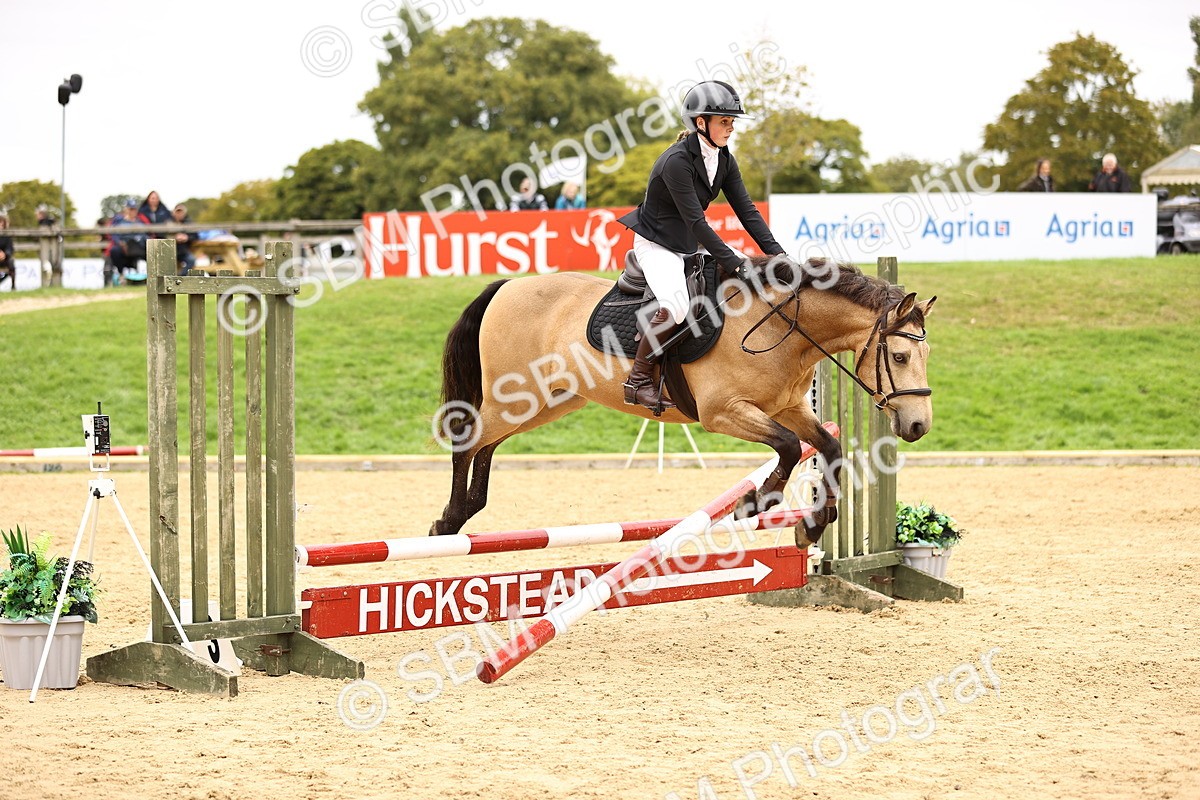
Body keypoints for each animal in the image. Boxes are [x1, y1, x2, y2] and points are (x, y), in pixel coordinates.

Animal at [430, 255, 936, 546]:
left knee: (487, 443)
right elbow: (790, 447)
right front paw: (755, 502)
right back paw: (449, 521)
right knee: (468, 437)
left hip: (548, 402)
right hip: (516, 397)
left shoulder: (789, 408)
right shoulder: (723, 412)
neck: (780, 327)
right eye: (900, 355)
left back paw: (468, 508)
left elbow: (827, 449)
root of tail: (507, 285)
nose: (918, 427)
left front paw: (811, 524)